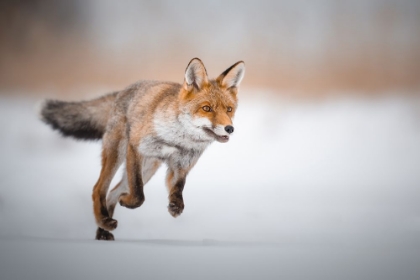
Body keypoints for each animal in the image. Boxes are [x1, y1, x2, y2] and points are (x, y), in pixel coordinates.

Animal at [41, 57, 244, 241]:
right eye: (207, 108)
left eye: (229, 109)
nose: (229, 128)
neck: (178, 140)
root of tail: (123, 91)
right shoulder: (136, 148)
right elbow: (138, 194)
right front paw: (128, 201)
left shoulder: (181, 165)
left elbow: (178, 188)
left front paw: (175, 206)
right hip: (118, 154)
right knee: (99, 189)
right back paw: (104, 221)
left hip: (149, 168)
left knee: (112, 193)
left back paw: (104, 231)